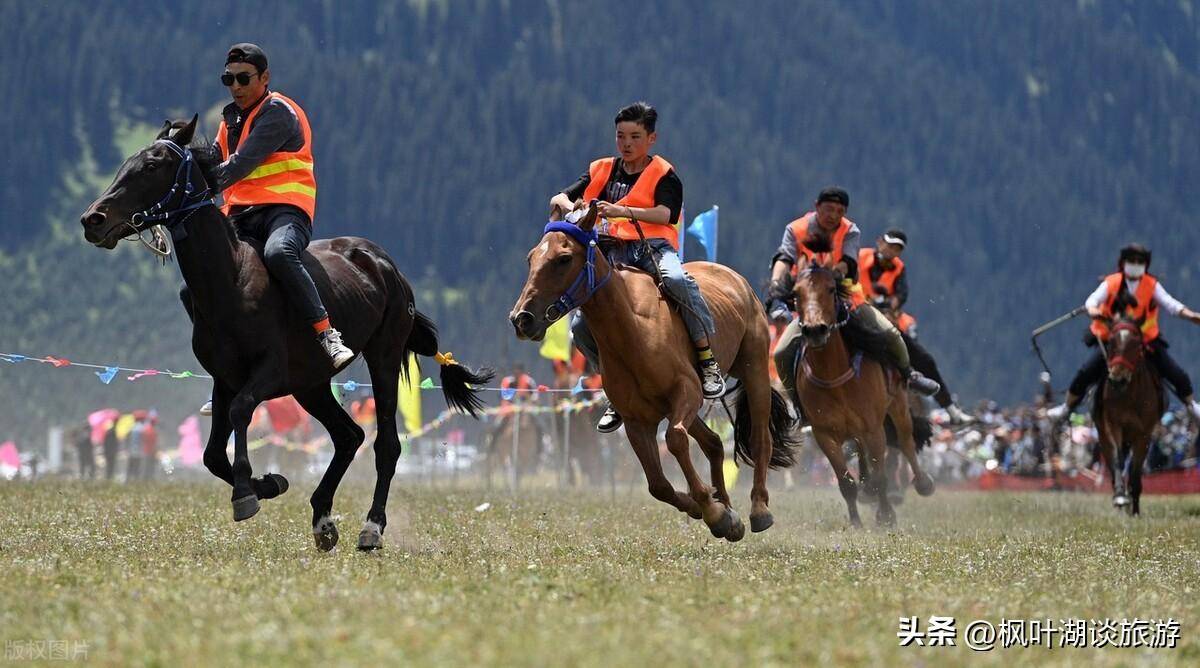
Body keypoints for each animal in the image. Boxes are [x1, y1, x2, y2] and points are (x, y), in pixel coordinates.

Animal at [82, 114, 492, 549]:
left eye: (152, 165)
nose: (93, 220)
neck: (231, 281)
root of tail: (385, 265)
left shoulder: (269, 371)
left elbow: (242, 410)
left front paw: (246, 493)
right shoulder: (224, 379)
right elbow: (212, 453)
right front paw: (268, 483)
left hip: (382, 356)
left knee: (386, 445)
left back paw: (371, 527)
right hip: (311, 385)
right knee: (349, 436)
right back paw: (323, 517)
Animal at [508, 203, 796, 542]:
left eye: (563, 258)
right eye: (531, 258)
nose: (522, 319)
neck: (632, 329)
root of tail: (734, 278)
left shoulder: (687, 392)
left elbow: (674, 440)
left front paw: (713, 511)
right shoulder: (637, 421)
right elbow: (658, 484)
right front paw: (714, 511)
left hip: (754, 370)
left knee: (760, 436)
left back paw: (758, 509)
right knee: (713, 442)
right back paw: (728, 508)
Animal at [792, 260, 931, 525]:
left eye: (831, 290)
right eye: (796, 294)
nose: (815, 330)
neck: (834, 377)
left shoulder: (874, 429)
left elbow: (882, 475)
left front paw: (886, 515)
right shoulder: (824, 434)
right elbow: (846, 482)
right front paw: (856, 522)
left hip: (898, 405)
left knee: (906, 441)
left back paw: (923, 483)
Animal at [1099, 314, 1161, 513]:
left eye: (1136, 344)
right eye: (1110, 341)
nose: (1117, 379)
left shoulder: (1144, 434)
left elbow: (1135, 471)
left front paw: (1135, 509)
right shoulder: (1113, 425)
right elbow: (1117, 459)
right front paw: (1120, 497)